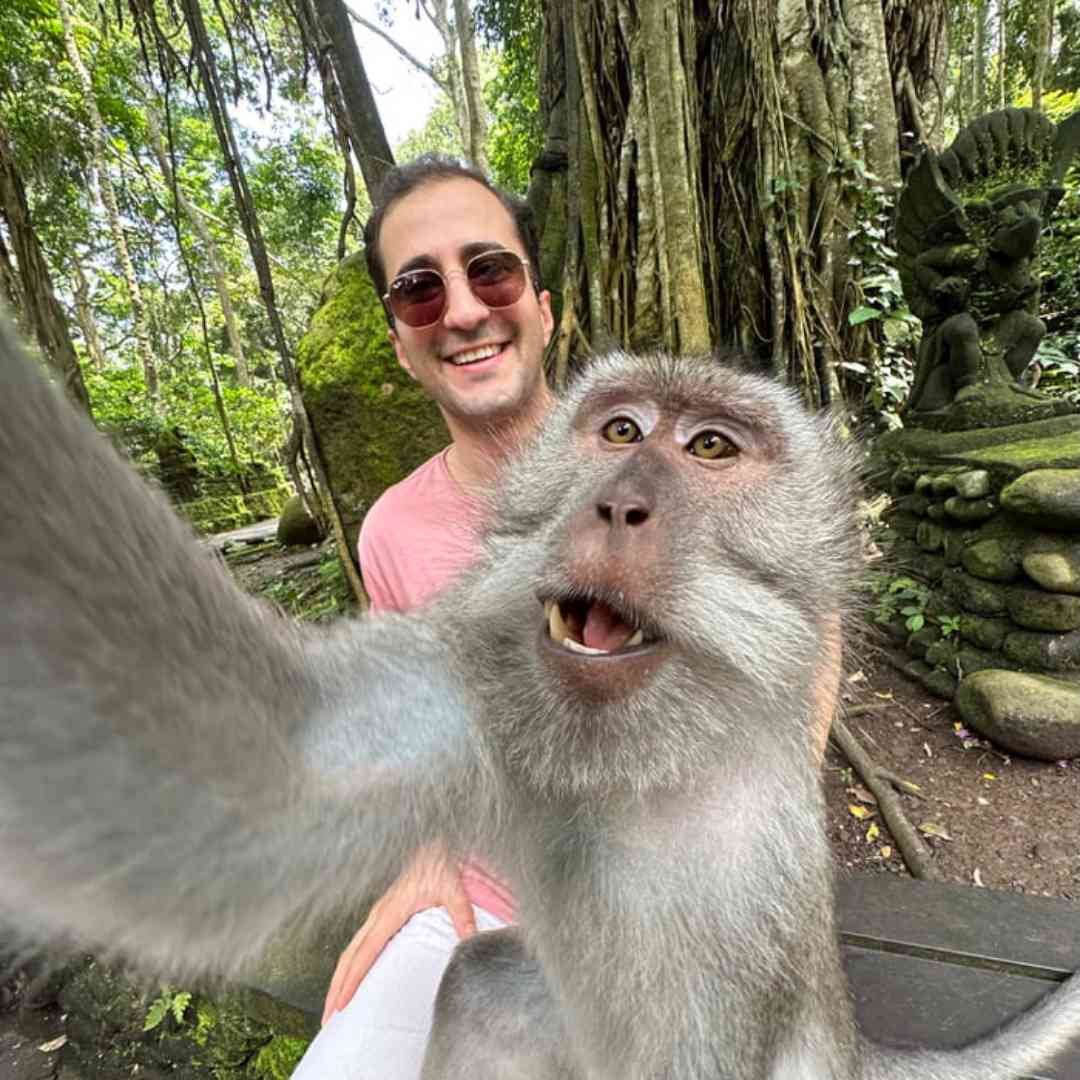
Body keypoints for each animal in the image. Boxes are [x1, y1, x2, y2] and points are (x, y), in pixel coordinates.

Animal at [0, 315, 1080, 1080]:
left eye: (711, 449)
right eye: (620, 430)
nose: (617, 502)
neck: (634, 757)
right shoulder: (482, 692)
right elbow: (256, 772)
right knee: (479, 983)